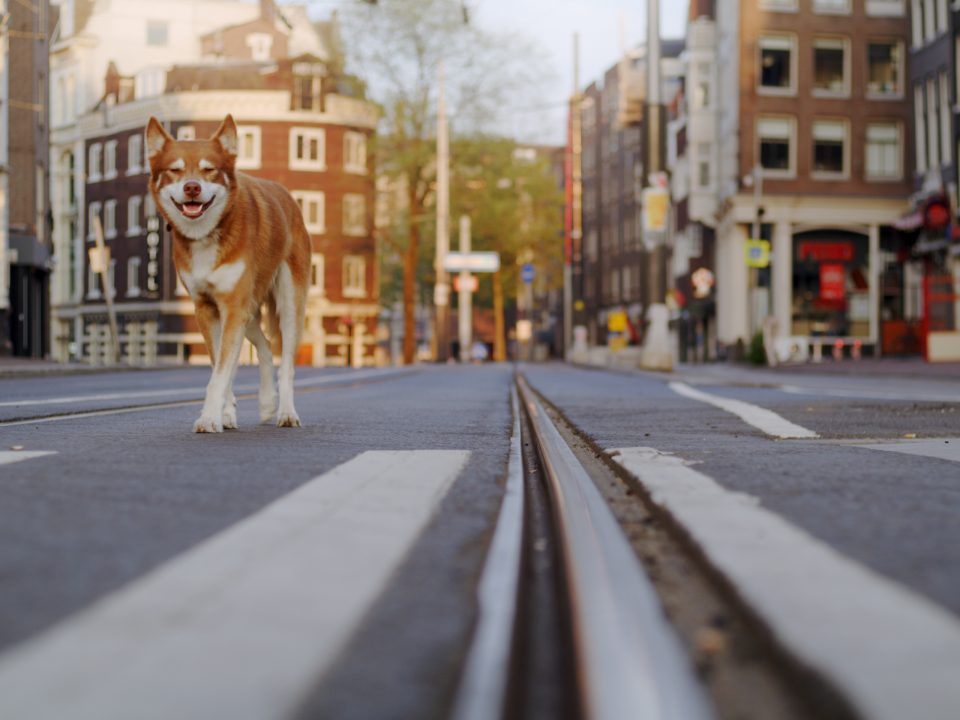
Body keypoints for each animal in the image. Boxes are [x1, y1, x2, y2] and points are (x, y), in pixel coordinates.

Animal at [144, 114, 310, 430]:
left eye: (209, 170)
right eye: (175, 170)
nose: (192, 188)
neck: (207, 235)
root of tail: (289, 198)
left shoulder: (233, 306)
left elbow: (220, 373)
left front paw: (209, 417)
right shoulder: (207, 308)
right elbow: (221, 366)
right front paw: (225, 414)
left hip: (287, 304)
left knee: (286, 364)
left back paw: (286, 412)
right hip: (249, 311)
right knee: (265, 346)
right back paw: (266, 402)